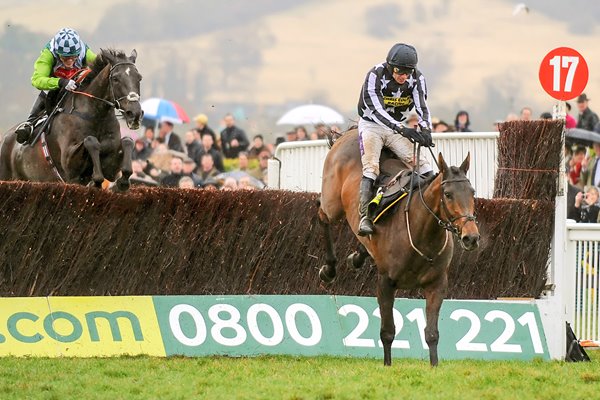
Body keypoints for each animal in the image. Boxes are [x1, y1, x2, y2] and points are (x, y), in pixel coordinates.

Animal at [0, 48, 143, 189]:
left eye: (139, 78)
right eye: (115, 78)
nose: (134, 113)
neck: (97, 116)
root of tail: (4, 137)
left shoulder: (111, 169)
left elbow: (128, 141)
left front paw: (123, 181)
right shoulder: (70, 167)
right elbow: (90, 140)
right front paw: (97, 180)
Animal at [318, 129, 478, 366]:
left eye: (472, 192)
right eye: (448, 194)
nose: (471, 237)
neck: (421, 236)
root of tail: (349, 133)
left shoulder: (437, 283)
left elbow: (432, 333)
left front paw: (434, 366)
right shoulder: (385, 282)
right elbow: (388, 331)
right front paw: (387, 364)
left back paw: (357, 256)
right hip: (333, 202)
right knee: (322, 216)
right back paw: (329, 268)